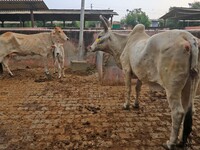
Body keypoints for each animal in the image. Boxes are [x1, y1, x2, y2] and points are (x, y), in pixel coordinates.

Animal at [90, 15, 199, 150]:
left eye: (99, 35)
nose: (90, 47)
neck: (124, 43)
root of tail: (188, 36)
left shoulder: (126, 69)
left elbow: (128, 89)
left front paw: (126, 105)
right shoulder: (140, 74)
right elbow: (138, 88)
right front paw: (136, 104)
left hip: (172, 87)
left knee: (178, 112)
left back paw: (171, 142)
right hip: (190, 84)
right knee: (189, 110)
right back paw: (180, 140)